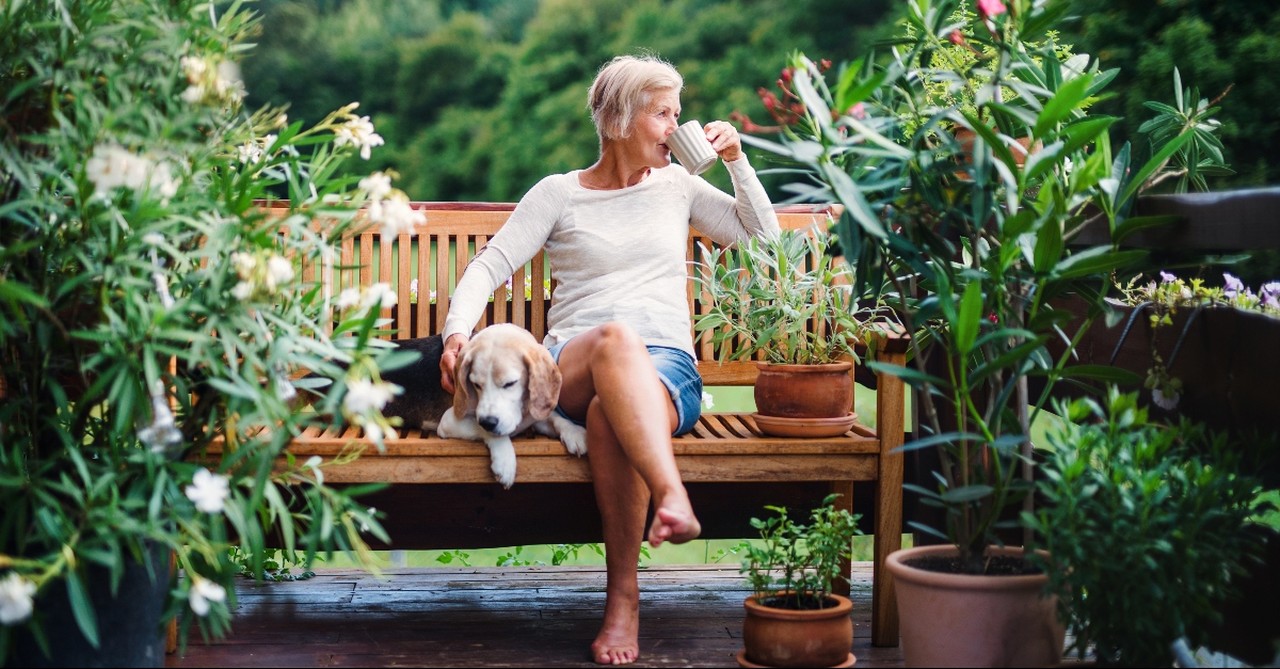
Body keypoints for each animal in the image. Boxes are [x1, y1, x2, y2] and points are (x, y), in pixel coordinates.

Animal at [435, 324, 586, 486]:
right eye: (476, 385)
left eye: (510, 383)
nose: (488, 422)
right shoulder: (448, 421)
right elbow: (485, 429)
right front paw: (505, 462)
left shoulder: (533, 417)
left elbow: (556, 418)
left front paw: (574, 432)